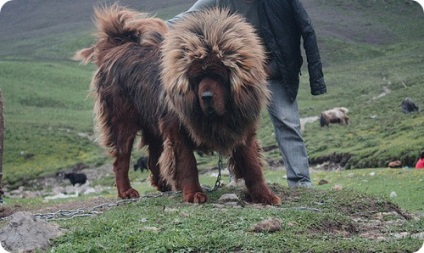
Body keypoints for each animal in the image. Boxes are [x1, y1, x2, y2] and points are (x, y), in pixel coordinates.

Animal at [73, 4, 171, 198]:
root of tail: (117, 47)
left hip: (151, 120)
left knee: (153, 158)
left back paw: (163, 184)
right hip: (123, 121)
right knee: (121, 160)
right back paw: (126, 191)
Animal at [160, 8, 282, 206]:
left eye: (218, 76)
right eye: (197, 79)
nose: (206, 97)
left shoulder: (242, 127)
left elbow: (252, 164)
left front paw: (264, 195)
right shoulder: (178, 131)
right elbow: (187, 163)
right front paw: (194, 194)